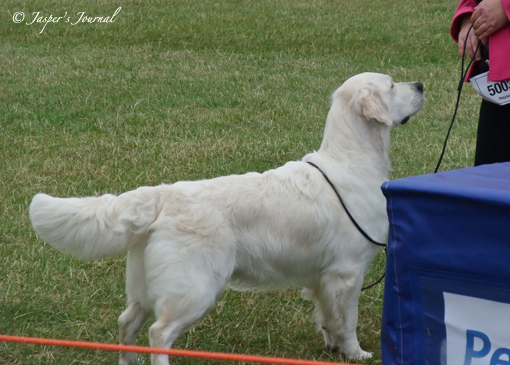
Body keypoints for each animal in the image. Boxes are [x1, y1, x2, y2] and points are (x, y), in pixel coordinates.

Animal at [29, 72, 424, 362]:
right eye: (392, 85)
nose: (421, 85)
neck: (351, 160)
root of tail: (161, 194)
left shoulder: (320, 276)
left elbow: (328, 318)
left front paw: (332, 347)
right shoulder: (347, 272)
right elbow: (348, 321)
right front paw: (357, 354)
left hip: (144, 284)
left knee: (128, 323)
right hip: (196, 288)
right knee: (158, 332)